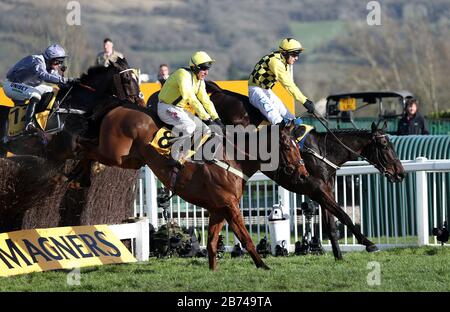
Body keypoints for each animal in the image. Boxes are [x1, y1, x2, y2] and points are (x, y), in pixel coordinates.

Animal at [79, 101, 308, 270]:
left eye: (298, 145)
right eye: (289, 146)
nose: (303, 174)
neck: (234, 158)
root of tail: (119, 106)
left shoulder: (218, 208)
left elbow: (213, 243)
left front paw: (213, 270)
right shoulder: (230, 205)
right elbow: (245, 238)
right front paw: (263, 266)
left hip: (130, 159)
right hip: (114, 152)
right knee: (84, 146)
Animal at [206, 81, 406, 260]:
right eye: (384, 144)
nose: (400, 172)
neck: (323, 150)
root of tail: (220, 90)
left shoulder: (326, 190)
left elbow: (331, 225)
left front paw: (339, 255)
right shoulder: (316, 189)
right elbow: (344, 216)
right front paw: (369, 244)